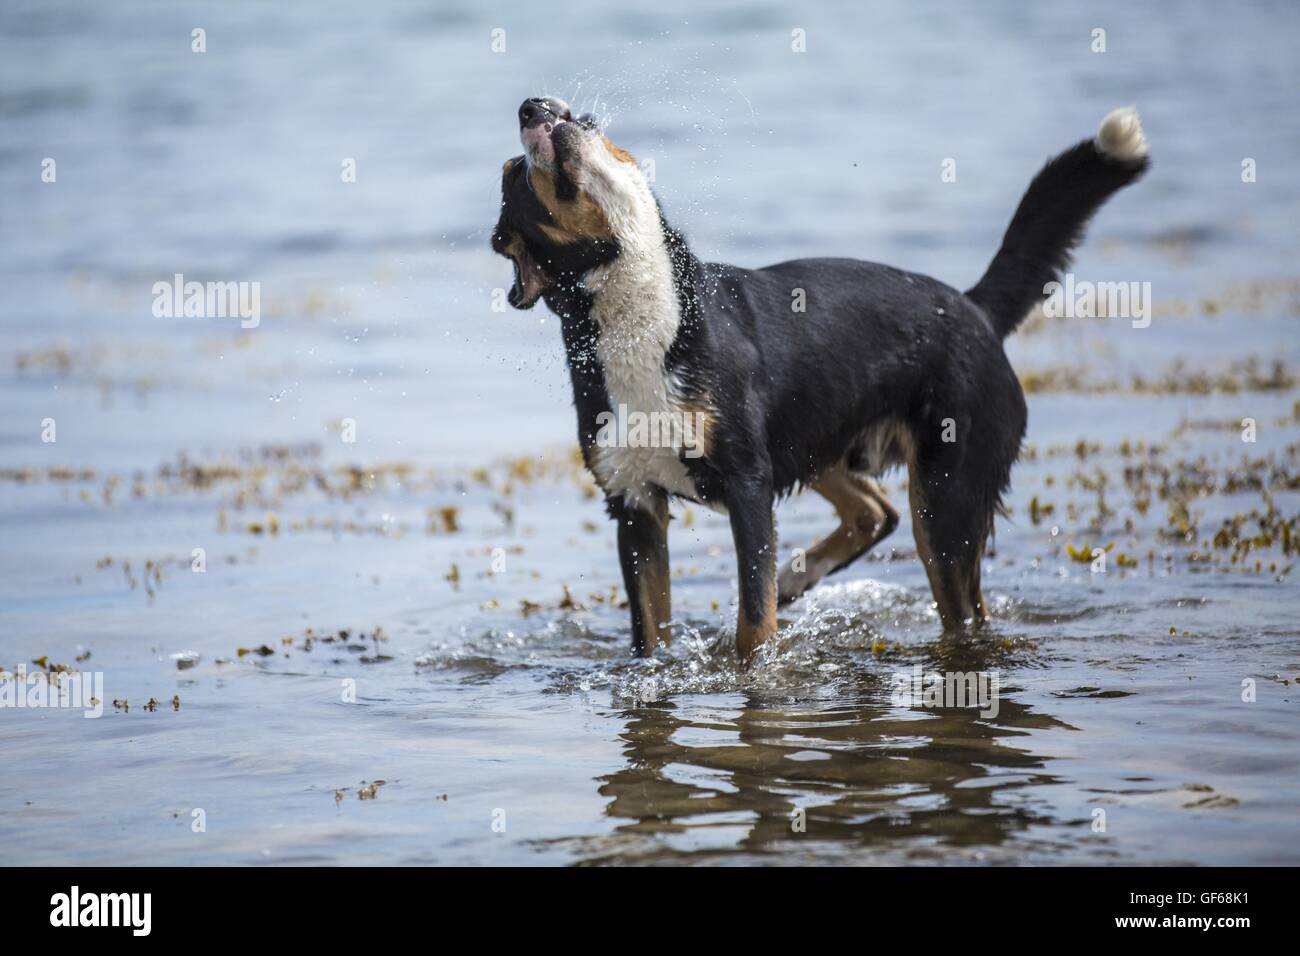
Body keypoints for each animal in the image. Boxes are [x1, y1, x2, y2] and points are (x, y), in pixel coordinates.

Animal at [488, 98, 1149, 665]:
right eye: (517, 175)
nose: (531, 106)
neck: (640, 319)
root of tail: (972, 308)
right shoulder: (636, 502)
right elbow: (653, 634)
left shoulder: (747, 482)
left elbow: (753, 623)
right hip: (817, 439)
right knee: (875, 513)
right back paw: (794, 581)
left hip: (945, 501)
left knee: (959, 606)